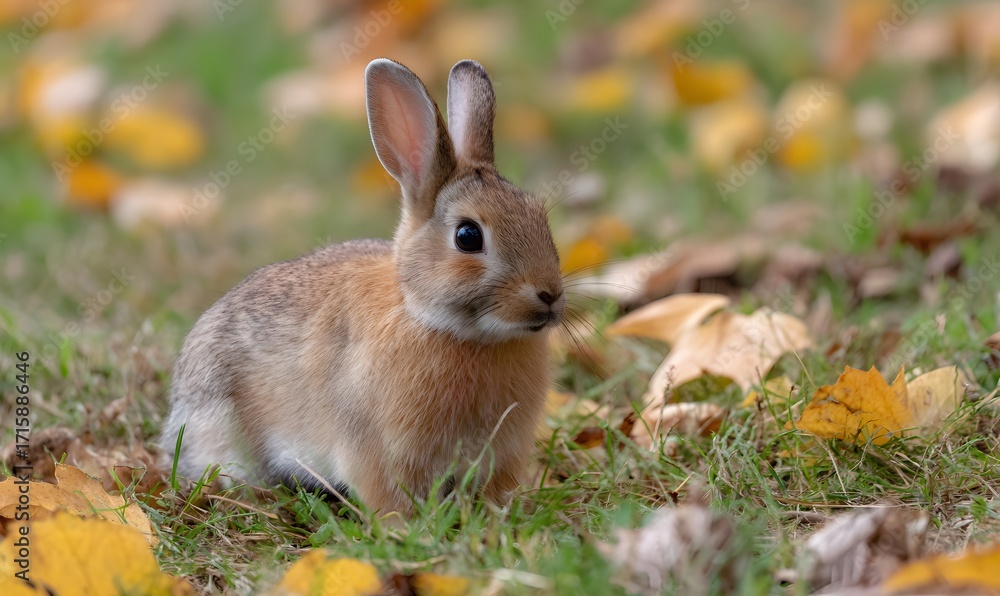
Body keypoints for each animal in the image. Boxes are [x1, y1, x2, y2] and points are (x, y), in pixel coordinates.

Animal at [159, 58, 566, 516]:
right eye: (467, 236)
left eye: (540, 217)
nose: (550, 294)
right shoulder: (375, 450)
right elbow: (387, 496)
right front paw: (403, 525)